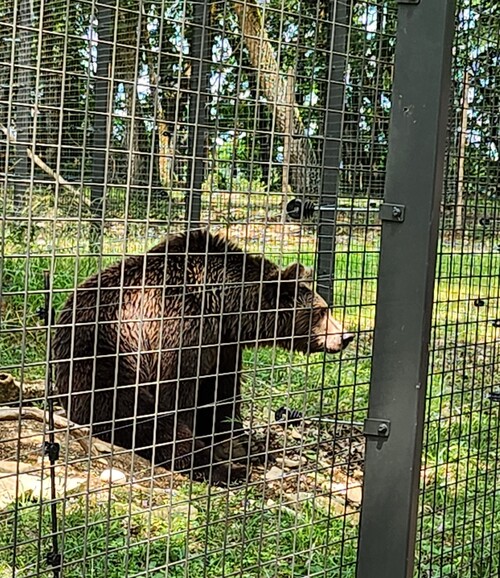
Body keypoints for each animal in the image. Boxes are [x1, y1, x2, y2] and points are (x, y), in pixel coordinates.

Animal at [52, 227, 354, 484]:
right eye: (321, 311)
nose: (345, 336)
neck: (226, 305)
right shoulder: (179, 328)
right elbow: (179, 396)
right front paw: (224, 451)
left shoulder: (223, 343)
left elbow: (222, 393)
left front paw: (241, 441)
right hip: (104, 359)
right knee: (139, 416)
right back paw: (226, 469)